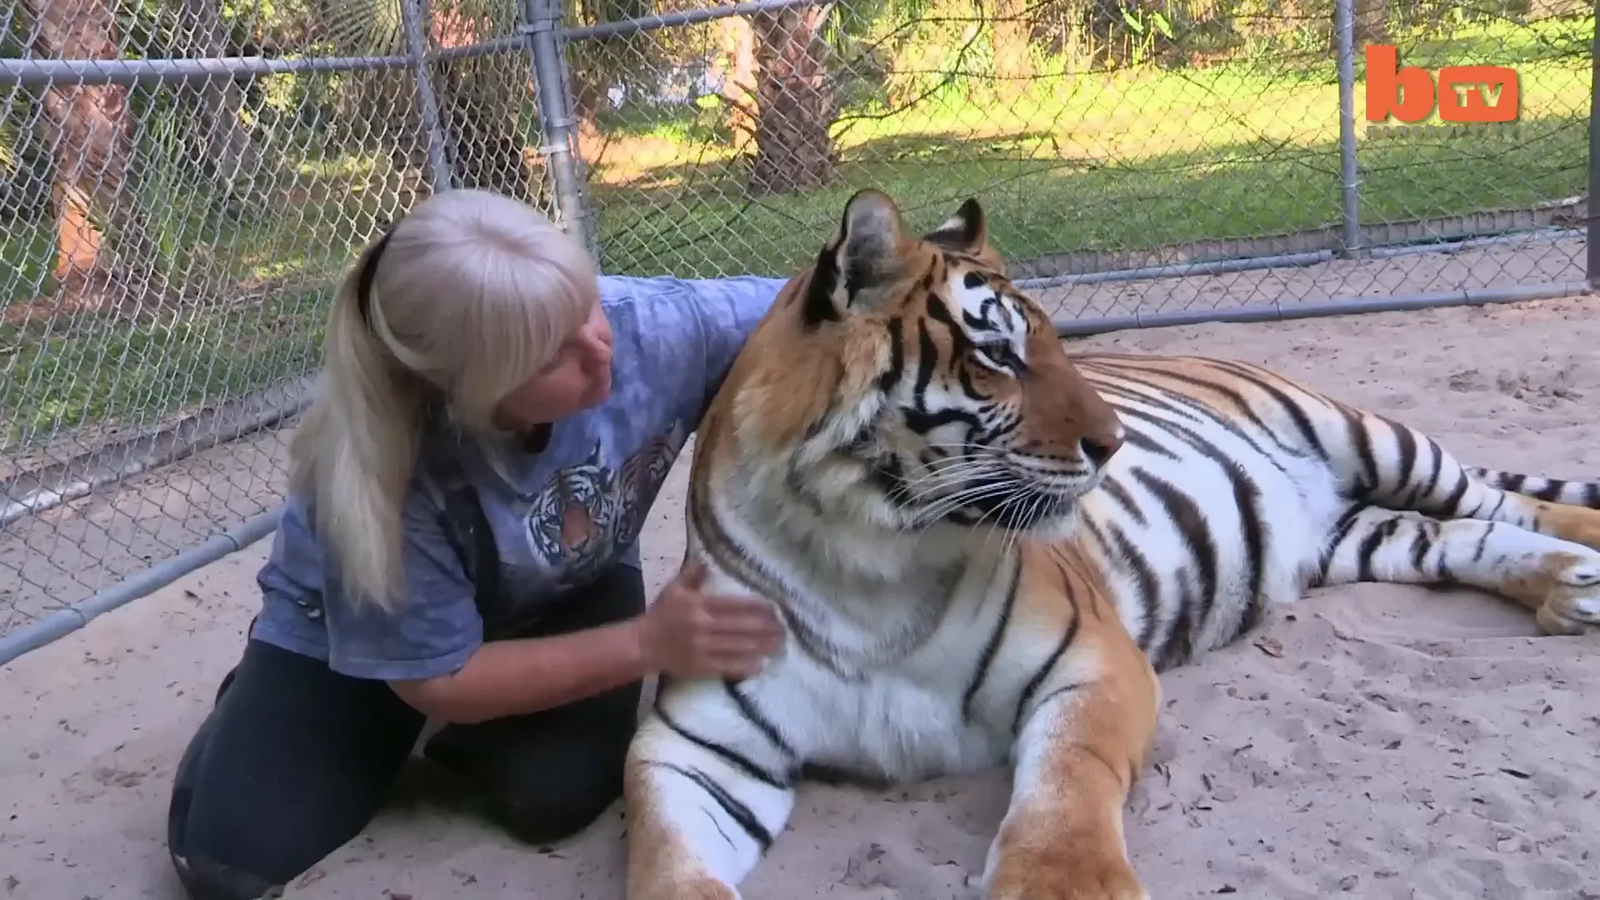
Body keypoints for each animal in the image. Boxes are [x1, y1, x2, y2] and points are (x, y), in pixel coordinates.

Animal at [620, 188, 1600, 900]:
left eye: (1056, 341)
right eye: (999, 356)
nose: (1114, 441)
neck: (862, 558)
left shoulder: (1090, 660)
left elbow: (1067, 787)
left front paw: (1062, 884)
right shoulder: (693, 744)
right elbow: (663, 858)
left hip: (1370, 437)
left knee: (1499, 497)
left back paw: (1585, 557)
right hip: (1353, 536)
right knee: (1463, 535)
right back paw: (1569, 590)